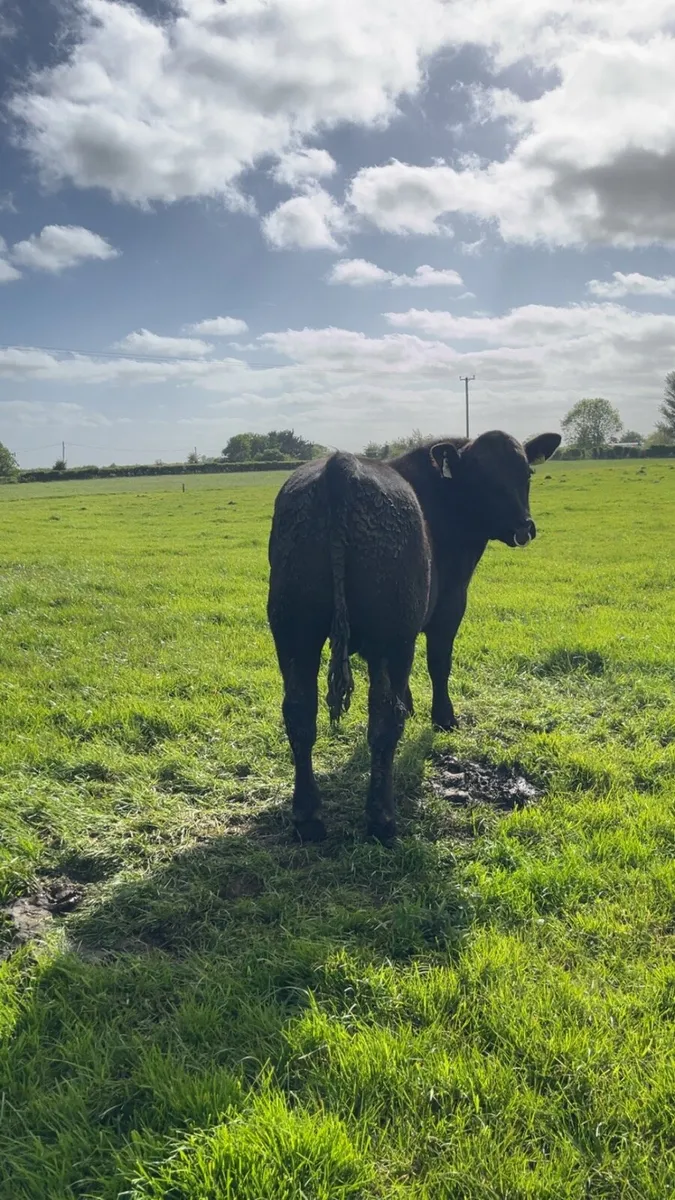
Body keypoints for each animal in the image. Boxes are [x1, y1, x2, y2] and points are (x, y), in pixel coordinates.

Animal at [267, 429, 561, 844]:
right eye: (481, 476)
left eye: (527, 472)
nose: (524, 527)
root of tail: (340, 467)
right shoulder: (449, 606)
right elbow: (439, 663)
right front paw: (444, 717)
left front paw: (412, 704)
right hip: (390, 633)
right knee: (382, 721)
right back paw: (382, 819)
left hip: (294, 630)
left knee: (299, 713)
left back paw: (308, 817)